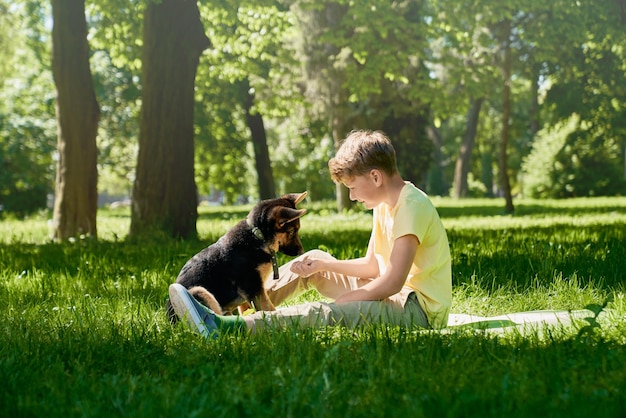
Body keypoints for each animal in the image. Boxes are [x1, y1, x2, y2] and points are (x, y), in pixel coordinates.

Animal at [165, 191, 304, 322]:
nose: (302, 252)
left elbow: (247, 310)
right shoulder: (253, 288)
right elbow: (268, 309)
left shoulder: (248, 294)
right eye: (292, 231)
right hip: (199, 291)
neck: (257, 236)